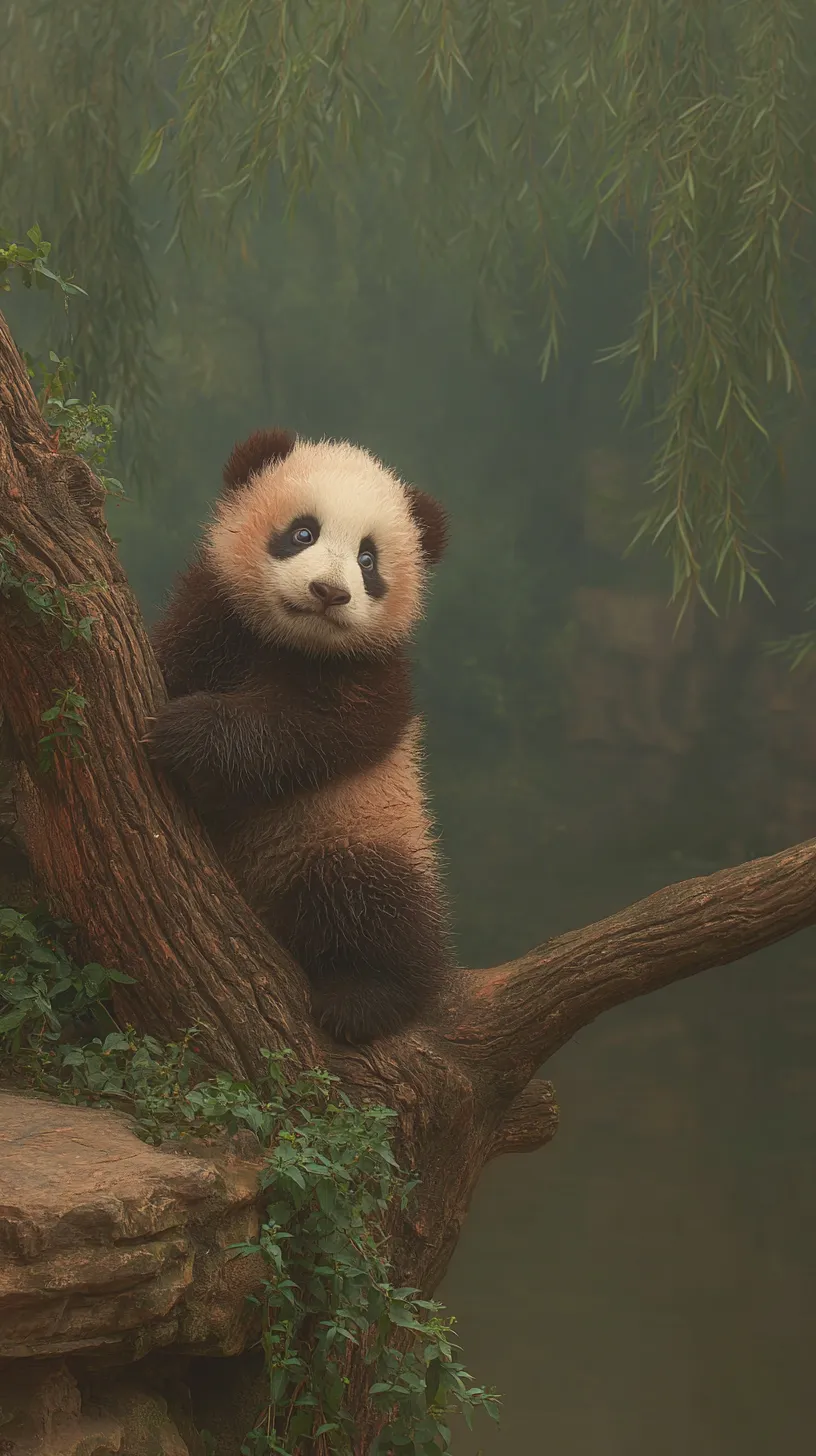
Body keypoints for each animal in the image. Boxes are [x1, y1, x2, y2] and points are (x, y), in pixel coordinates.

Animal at [146, 428, 451, 1044]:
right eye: (302, 532)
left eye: (367, 559)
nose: (329, 592)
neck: (288, 640)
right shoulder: (213, 616)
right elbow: (173, 656)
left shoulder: (372, 677)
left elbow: (310, 733)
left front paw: (185, 729)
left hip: (356, 828)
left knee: (375, 902)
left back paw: (364, 997)